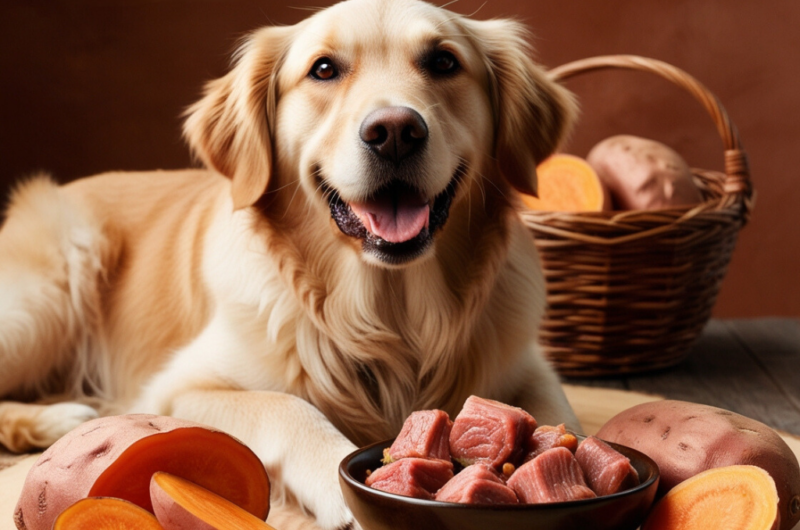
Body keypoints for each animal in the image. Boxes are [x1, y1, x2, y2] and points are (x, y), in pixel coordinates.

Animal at [0, 0, 580, 524]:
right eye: (323, 69)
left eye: (443, 62)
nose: (395, 131)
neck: (387, 318)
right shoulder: (177, 388)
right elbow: (286, 406)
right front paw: (343, 488)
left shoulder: (528, 367)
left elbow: (562, 418)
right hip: (49, 294)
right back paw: (60, 419)